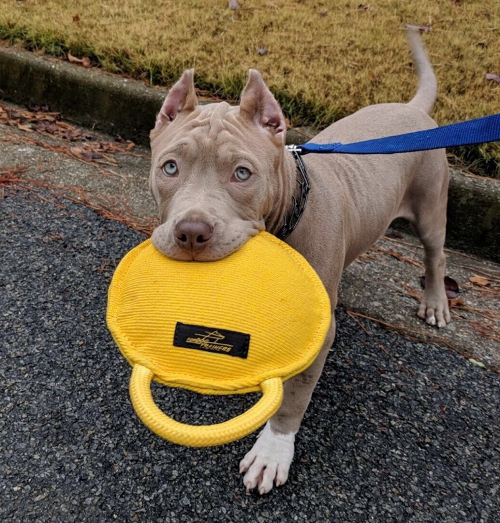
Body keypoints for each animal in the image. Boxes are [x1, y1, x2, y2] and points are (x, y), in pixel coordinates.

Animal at [147, 30, 450, 498]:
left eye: (242, 173)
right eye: (170, 167)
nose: (191, 233)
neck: (287, 209)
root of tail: (413, 108)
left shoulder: (319, 335)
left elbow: (293, 394)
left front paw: (273, 451)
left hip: (432, 205)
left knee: (436, 254)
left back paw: (435, 302)